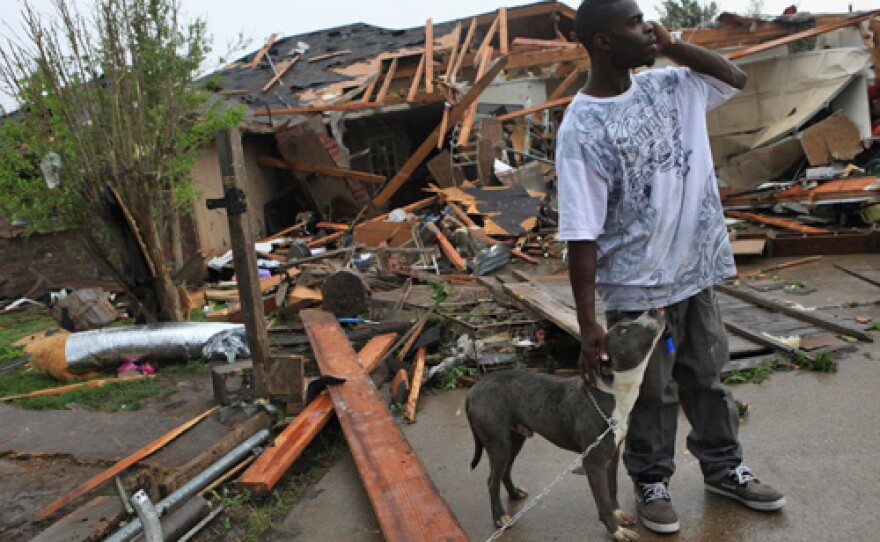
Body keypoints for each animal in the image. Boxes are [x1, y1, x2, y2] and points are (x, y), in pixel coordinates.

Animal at [468, 312, 660, 540]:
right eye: (623, 330)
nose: (653, 311)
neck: (611, 393)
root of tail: (473, 390)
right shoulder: (594, 463)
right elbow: (603, 501)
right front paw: (615, 531)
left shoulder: (612, 456)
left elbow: (612, 488)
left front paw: (618, 513)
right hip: (498, 444)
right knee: (492, 481)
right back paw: (499, 516)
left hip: (514, 440)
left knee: (505, 471)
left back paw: (514, 494)